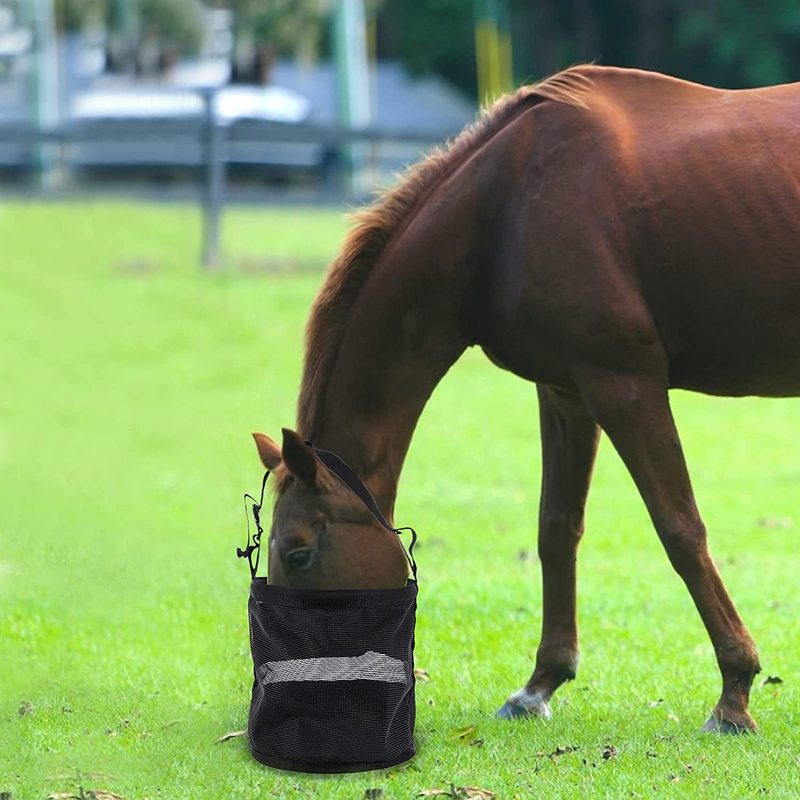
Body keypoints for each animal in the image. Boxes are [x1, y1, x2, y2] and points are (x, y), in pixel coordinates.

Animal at [252, 65, 800, 736]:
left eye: (299, 554)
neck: (503, 209)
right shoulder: (567, 391)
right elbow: (556, 529)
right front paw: (541, 684)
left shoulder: (624, 386)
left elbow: (680, 529)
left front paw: (734, 692)